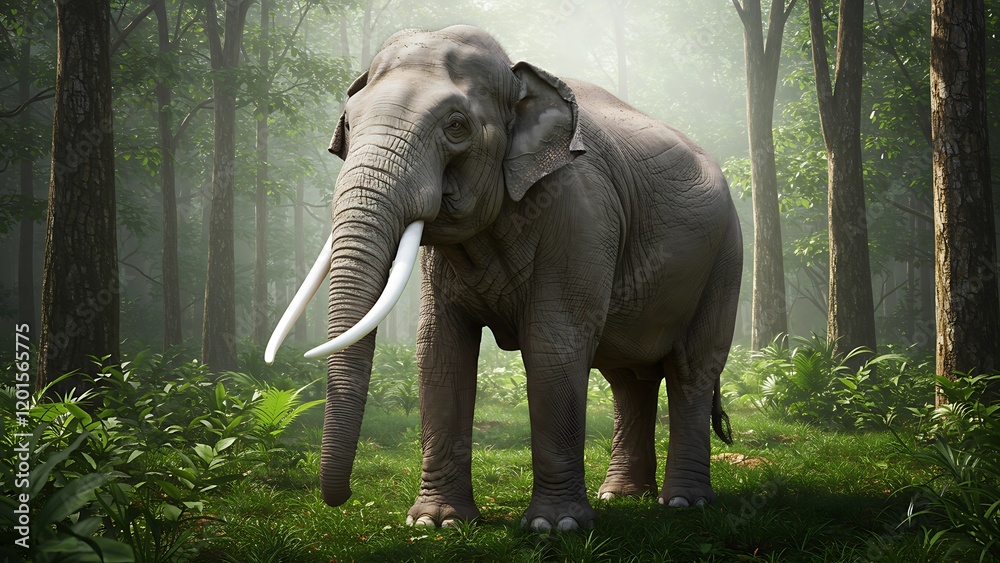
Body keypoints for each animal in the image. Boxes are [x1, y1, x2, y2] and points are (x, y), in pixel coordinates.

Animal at [266, 24, 742, 532]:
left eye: (456, 126)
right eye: (349, 125)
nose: (343, 498)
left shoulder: (581, 212)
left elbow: (553, 342)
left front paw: (554, 528)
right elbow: (439, 347)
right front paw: (437, 524)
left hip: (725, 258)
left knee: (691, 368)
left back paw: (683, 503)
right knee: (627, 378)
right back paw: (622, 496)